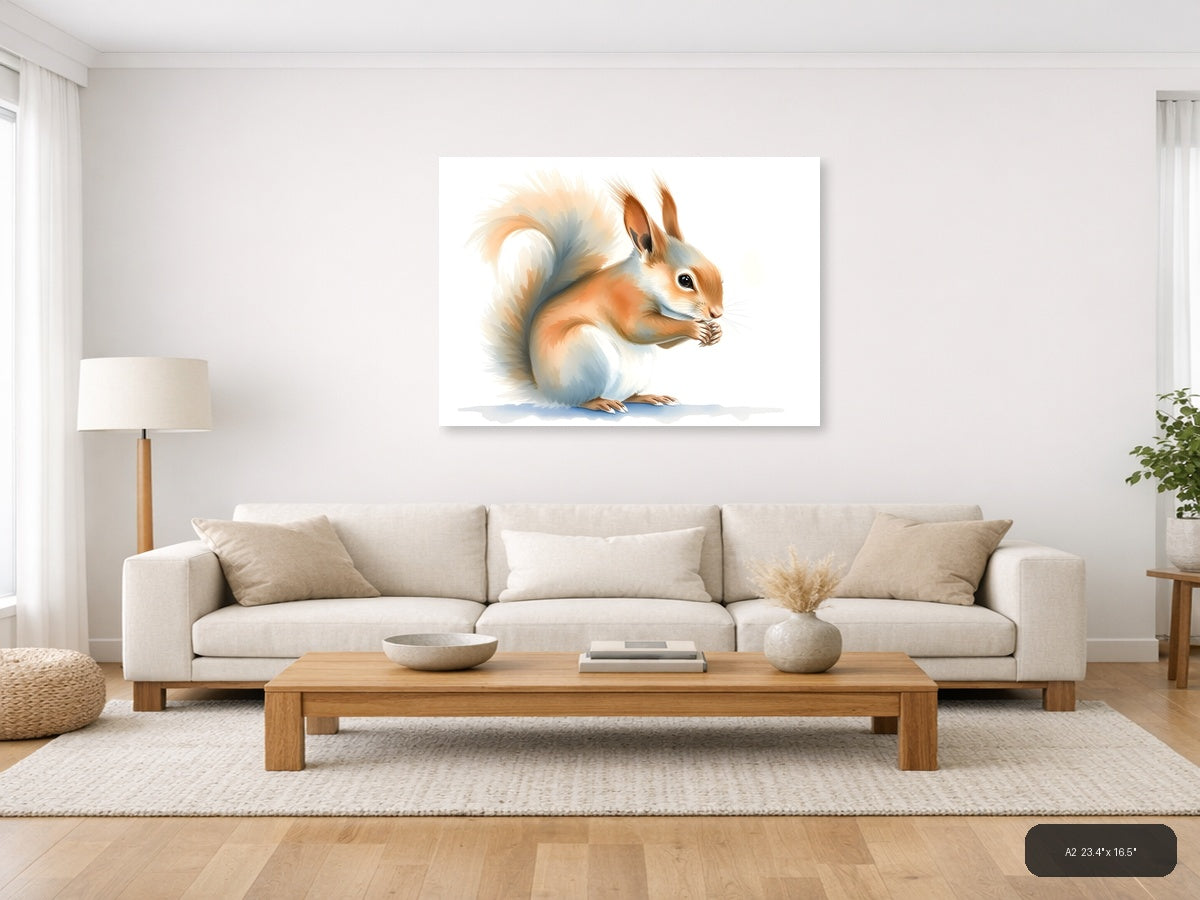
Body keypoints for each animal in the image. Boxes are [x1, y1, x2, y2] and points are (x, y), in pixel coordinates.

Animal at [473, 173, 723, 413]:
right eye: (685, 280)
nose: (717, 313)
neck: (642, 281)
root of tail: (546, 391)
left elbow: (663, 344)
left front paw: (715, 331)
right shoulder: (622, 297)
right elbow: (638, 328)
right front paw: (695, 328)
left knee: (628, 396)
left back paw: (647, 397)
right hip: (584, 351)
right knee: (579, 400)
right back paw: (599, 403)